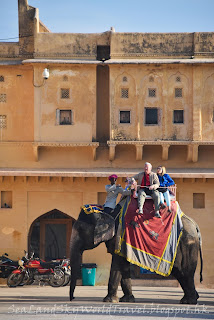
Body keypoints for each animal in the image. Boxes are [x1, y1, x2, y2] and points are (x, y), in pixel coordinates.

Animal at [70, 201, 202, 304]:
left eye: (80, 230)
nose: (73, 298)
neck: (107, 211)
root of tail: (195, 225)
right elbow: (123, 266)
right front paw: (127, 300)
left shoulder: (119, 237)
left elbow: (117, 264)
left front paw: (109, 300)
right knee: (180, 272)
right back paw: (191, 298)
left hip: (187, 244)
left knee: (185, 272)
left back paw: (189, 301)